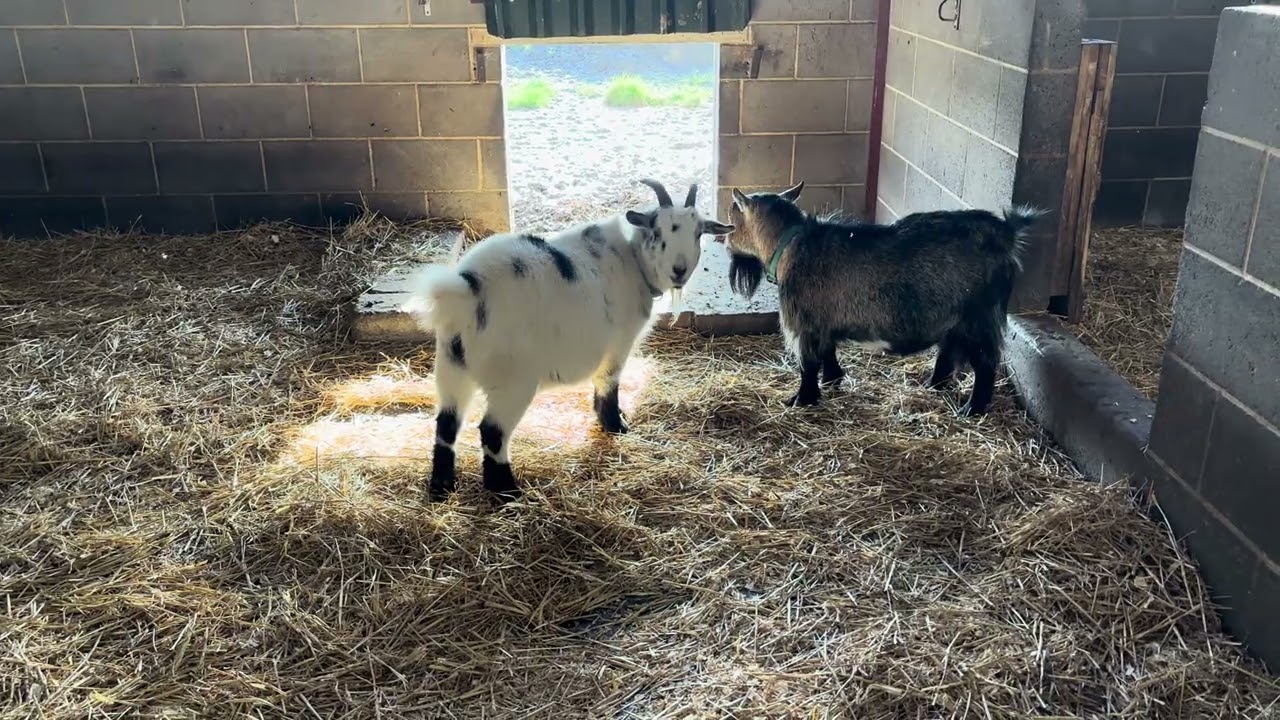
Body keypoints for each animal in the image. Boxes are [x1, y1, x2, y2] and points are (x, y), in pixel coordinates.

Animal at [404, 179, 735, 503]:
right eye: (657, 231)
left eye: (698, 233)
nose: (679, 271)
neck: (632, 260)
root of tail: (469, 288)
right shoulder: (619, 344)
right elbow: (608, 382)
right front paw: (615, 424)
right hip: (512, 379)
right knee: (492, 431)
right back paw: (507, 491)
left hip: (451, 364)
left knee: (446, 424)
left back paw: (442, 486)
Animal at [721, 181, 1043, 416]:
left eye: (732, 217)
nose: (724, 240)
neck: (791, 244)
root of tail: (1006, 231)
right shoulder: (824, 322)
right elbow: (828, 351)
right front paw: (833, 380)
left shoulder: (804, 322)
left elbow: (809, 363)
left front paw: (802, 399)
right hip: (957, 320)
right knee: (948, 353)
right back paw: (932, 386)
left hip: (978, 318)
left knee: (986, 364)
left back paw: (971, 409)